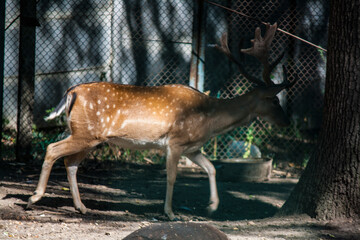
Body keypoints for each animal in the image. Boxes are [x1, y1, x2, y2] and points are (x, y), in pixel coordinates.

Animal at [27, 23, 292, 220]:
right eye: (274, 100)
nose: (287, 122)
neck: (210, 121)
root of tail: (71, 91)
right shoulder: (175, 142)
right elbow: (172, 176)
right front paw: (171, 213)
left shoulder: (193, 147)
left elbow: (212, 168)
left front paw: (212, 206)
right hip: (86, 132)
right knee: (52, 149)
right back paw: (34, 197)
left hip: (90, 137)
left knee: (70, 162)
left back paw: (81, 207)